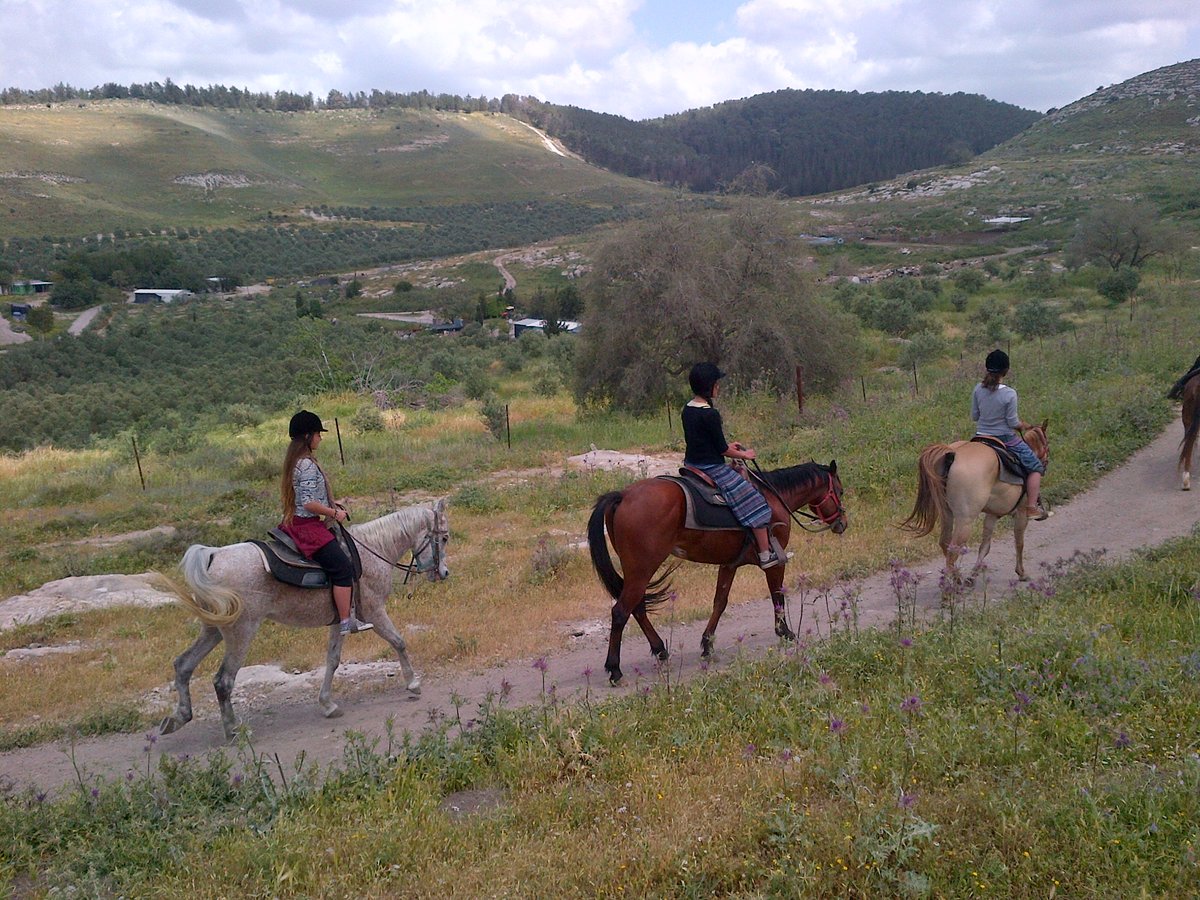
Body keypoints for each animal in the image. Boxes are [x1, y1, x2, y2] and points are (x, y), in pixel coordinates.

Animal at [159, 501, 451, 739]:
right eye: (445, 538)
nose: (444, 573)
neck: (374, 550)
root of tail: (212, 556)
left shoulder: (340, 621)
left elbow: (332, 661)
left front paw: (328, 704)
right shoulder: (374, 612)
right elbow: (399, 642)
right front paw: (413, 683)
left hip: (214, 629)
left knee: (183, 665)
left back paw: (178, 718)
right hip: (241, 631)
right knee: (223, 680)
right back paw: (233, 730)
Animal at [588, 460, 844, 686]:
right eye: (839, 491)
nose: (842, 523)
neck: (774, 497)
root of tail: (622, 496)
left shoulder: (729, 565)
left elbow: (720, 602)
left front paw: (707, 644)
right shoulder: (775, 561)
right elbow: (777, 595)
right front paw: (785, 631)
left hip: (636, 571)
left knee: (637, 608)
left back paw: (660, 650)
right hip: (642, 569)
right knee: (621, 612)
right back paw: (615, 669)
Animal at [902, 427, 1046, 588]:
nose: (1044, 464)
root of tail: (953, 453)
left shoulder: (992, 515)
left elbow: (985, 546)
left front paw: (972, 576)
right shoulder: (1021, 514)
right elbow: (1019, 543)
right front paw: (1021, 573)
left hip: (947, 513)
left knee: (945, 543)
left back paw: (957, 578)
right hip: (965, 520)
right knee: (953, 551)